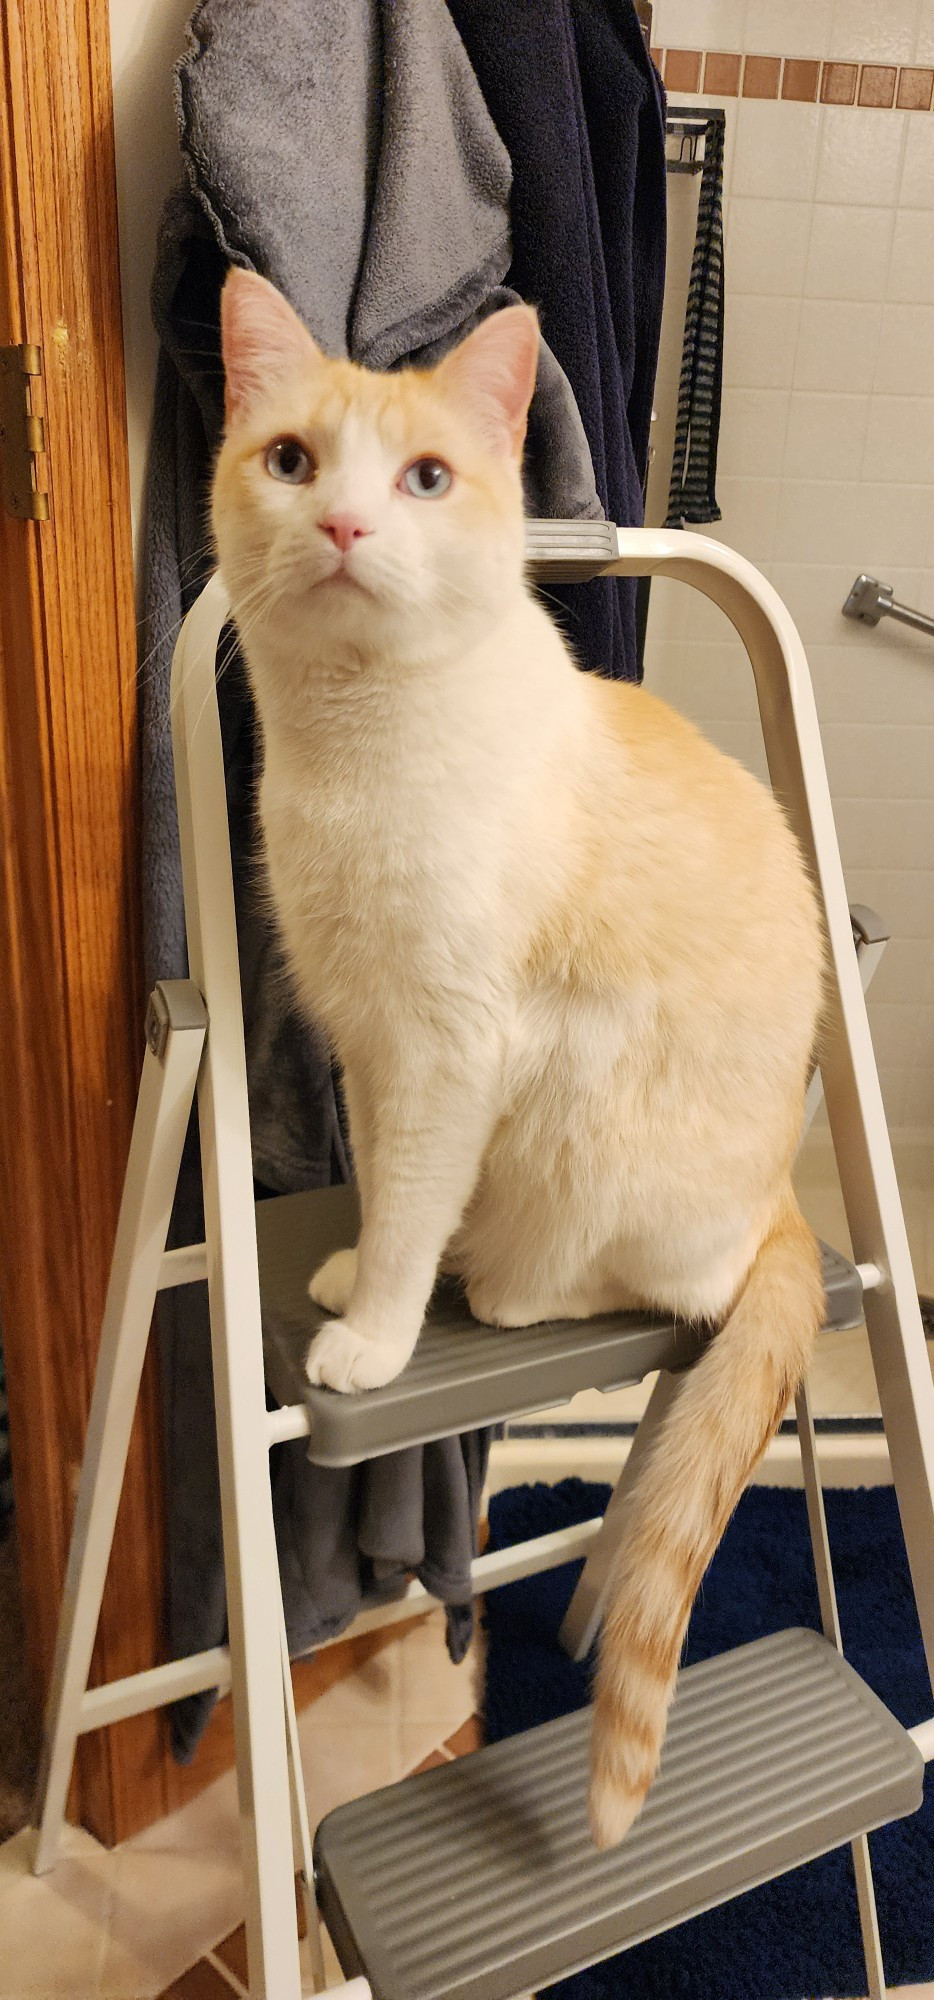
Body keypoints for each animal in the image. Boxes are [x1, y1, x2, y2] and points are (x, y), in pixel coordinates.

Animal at [212, 274, 828, 1848]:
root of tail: (786, 1200)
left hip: (587, 1135)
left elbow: (414, 1206)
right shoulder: (366, 1036)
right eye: (293, 461)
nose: (344, 526)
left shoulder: (446, 1043)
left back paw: (500, 1282)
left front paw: (376, 1330)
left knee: (648, 1284)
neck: (355, 748)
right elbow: (382, 1195)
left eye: (425, 479)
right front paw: (353, 1275)